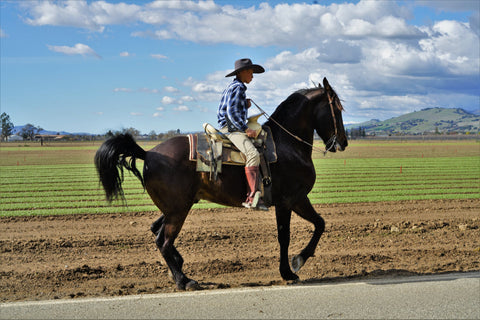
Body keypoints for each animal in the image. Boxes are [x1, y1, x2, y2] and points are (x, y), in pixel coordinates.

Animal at [94, 77, 348, 290]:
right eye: (337, 109)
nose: (343, 142)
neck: (287, 145)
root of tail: (148, 154)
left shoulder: (298, 199)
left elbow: (320, 223)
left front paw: (297, 261)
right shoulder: (289, 201)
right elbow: (285, 236)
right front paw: (291, 268)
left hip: (176, 207)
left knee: (156, 230)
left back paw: (179, 266)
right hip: (178, 211)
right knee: (163, 240)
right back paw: (184, 280)